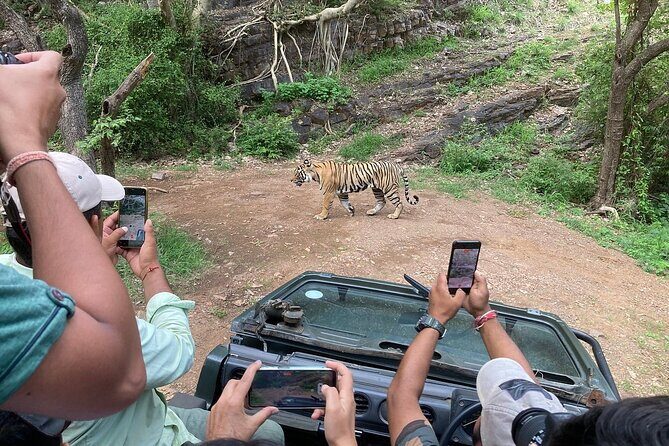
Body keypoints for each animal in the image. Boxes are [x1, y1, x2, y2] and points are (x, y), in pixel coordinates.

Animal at [291, 159, 419, 220]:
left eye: (297, 173)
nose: (291, 180)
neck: (316, 173)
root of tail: (396, 165)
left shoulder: (328, 192)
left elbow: (325, 205)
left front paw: (321, 216)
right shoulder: (341, 193)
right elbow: (345, 203)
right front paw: (351, 210)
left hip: (389, 188)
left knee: (399, 203)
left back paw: (394, 216)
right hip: (377, 189)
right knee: (381, 201)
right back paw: (372, 212)